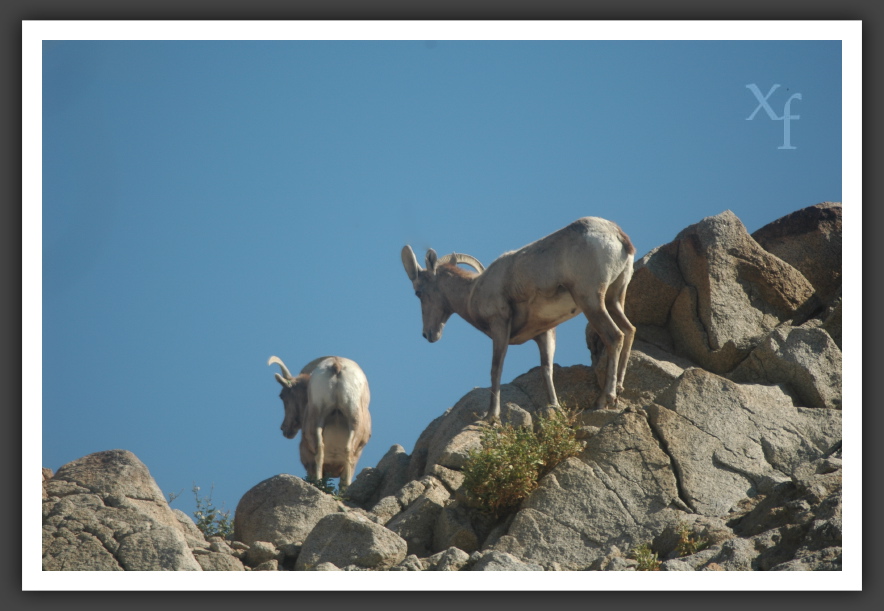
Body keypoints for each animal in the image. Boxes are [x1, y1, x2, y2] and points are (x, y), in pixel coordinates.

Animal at [266, 354, 370, 488]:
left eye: (282, 395)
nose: (284, 428)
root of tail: (336, 365)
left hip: (318, 422)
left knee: (321, 450)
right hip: (352, 421)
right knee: (345, 450)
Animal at [400, 218, 636, 424]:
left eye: (418, 292)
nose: (429, 334)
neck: (472, 292)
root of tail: (617, 235)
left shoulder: (500, 326)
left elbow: (496, 369)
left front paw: (491, 416)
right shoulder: (544, 333)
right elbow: (547, 370)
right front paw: (555, 407)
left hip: (590, 300)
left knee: (615, 336)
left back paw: (605, 399)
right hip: (614, 299)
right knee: (629, 330)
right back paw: (619, 391)